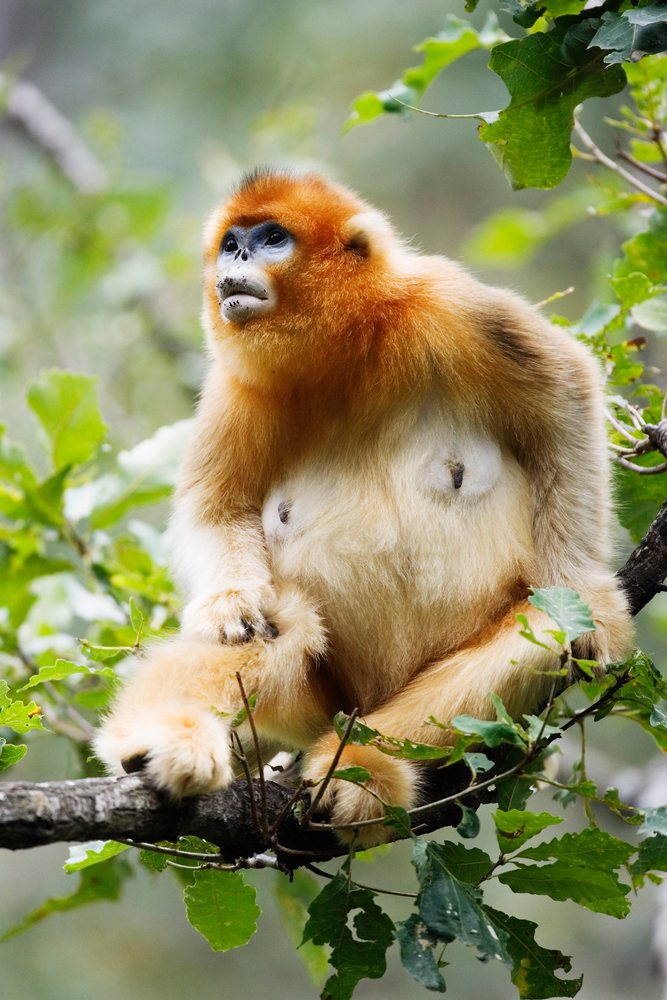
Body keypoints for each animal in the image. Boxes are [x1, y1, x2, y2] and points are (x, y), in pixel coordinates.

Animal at [94, 169, 633, 846]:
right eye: (231, 243)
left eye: (272, 239)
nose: (235, 261)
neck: (348, 349)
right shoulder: (236, 383)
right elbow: (214, 510)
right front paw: (229, 605)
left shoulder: (449, 304)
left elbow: (568, 390)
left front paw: (582, 584)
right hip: (320, 699)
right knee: (283, 622)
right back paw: (167, 740)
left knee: (549, 626)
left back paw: (363, 767)